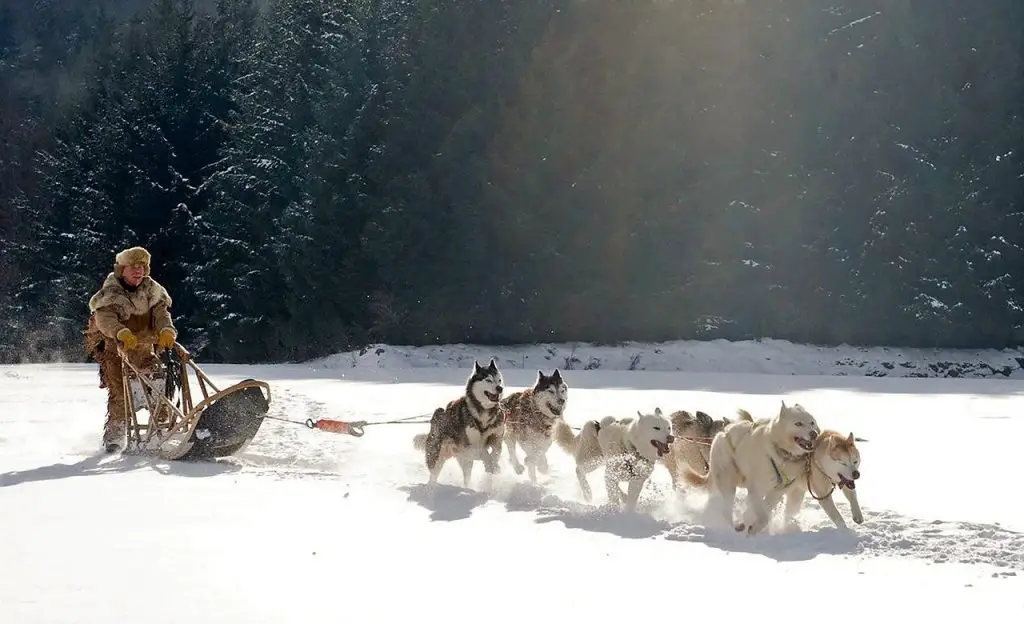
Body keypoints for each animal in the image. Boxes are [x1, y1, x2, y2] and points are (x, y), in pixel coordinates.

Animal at [684, 401, 819, 532]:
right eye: (798, 423)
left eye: (812, 423)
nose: (814, 434)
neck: (782, 455)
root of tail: (723, 432)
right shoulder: (756, 489)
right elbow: (763, 516)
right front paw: (754, 528)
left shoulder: (777, 491)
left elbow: (764, 508)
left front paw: (751, 522)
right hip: (728, 482)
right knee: (726, 510)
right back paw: (733, 527)